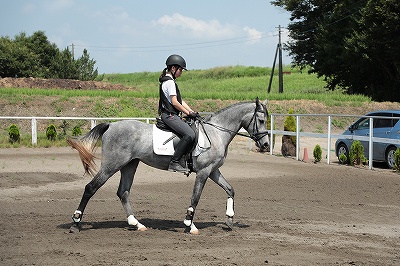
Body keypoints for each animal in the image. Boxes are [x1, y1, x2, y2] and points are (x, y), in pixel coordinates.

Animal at [68, 97, 268, 233]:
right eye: (261, 120)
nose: (266, 145)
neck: (216, 132)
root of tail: (111, 125)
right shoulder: (203, 172)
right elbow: (195, 197)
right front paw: (189, 225)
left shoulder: (213, 171)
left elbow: (230, 189)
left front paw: (229, 219)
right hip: (111, 165)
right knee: (91, 188)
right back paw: (76, 223)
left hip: (129, 165)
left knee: (123, 192)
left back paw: (137, 224)